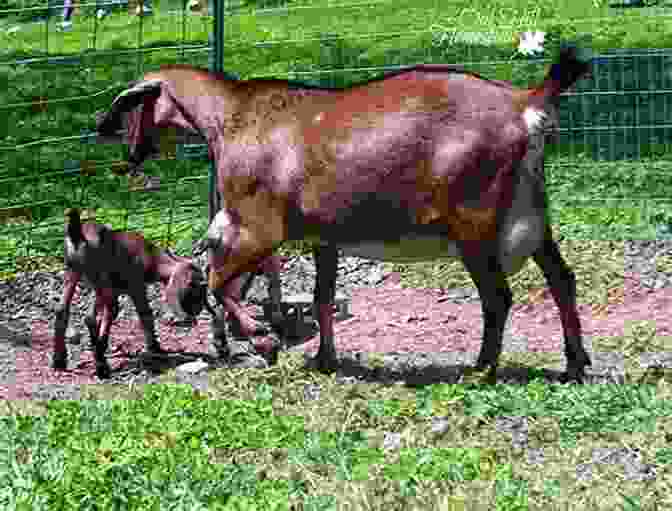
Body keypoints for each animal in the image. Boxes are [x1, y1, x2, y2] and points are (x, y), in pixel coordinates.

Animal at [96, 45, 592, 380]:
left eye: (129, 102)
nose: (103, 130)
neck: (229, 118)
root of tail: (525, 105)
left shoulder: (259, 228)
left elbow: (219, 282)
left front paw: (266, 342)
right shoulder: (323, 238)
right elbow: (322, 297)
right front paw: (324, 360)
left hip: (474, 224)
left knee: (498, 297)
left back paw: (480, 370)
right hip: (533, 213)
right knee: (561, 279)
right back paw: (575, 364)